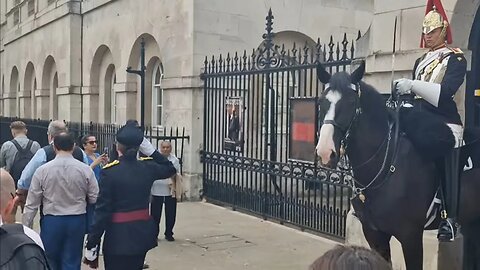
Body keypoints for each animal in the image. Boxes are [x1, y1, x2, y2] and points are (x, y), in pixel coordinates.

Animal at [316, 61, 480, 270]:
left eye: (352, 102)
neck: (385, 166)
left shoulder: (411, 236)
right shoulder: (374, 234)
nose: (325, 151)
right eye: (322, 101)